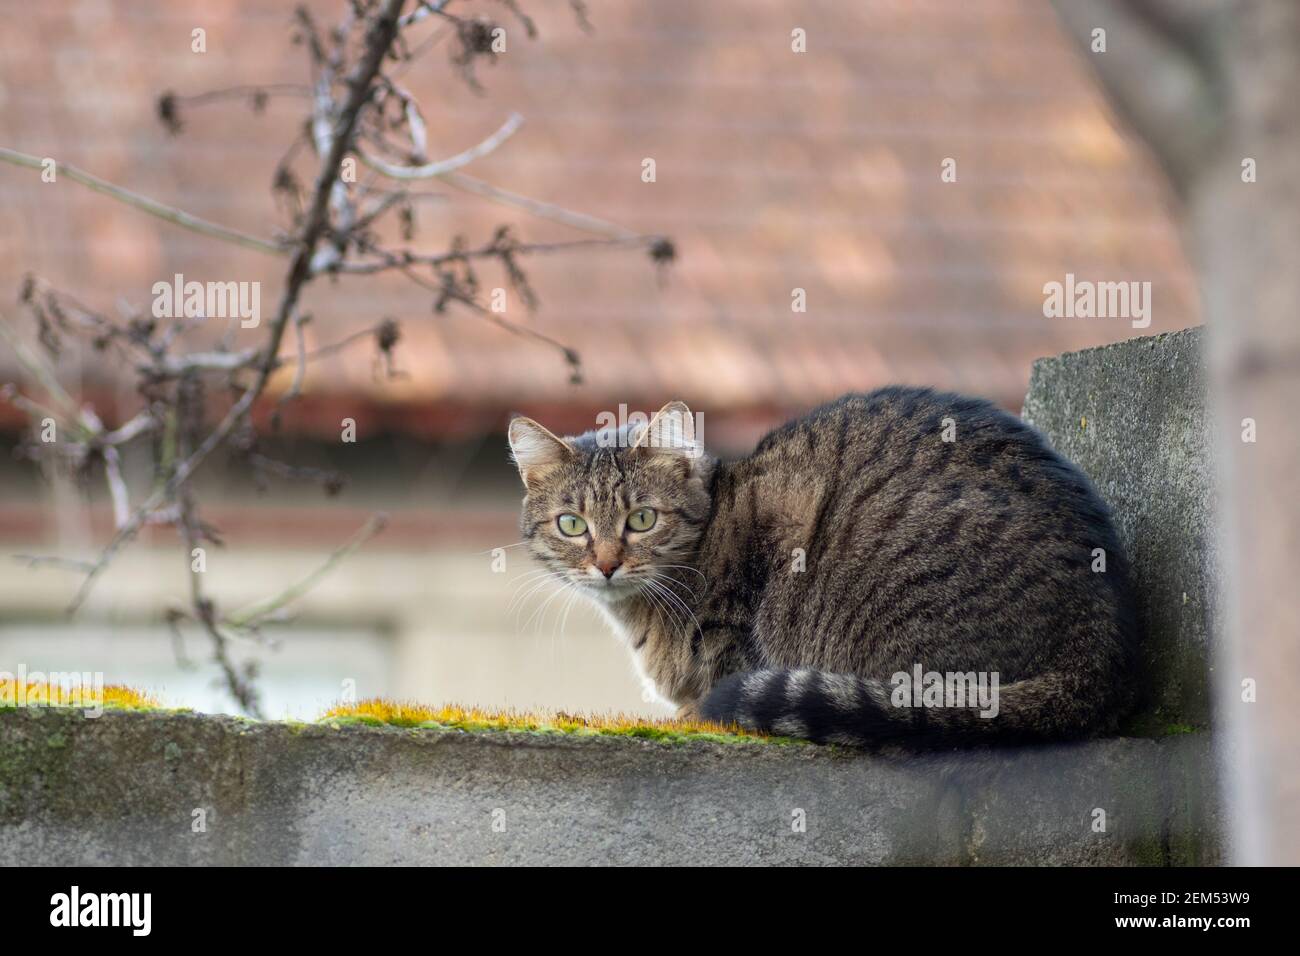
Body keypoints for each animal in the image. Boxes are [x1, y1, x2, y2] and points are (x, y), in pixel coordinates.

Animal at [506, 390, 1138, 749]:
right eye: (571, 525)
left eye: (641, 518)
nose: (606, 564)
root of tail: (1101, 651)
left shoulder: (738, 620)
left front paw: (691, 711)